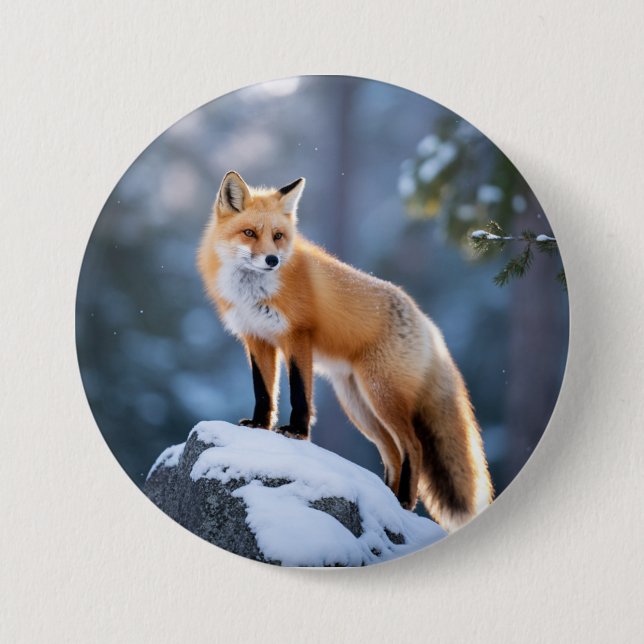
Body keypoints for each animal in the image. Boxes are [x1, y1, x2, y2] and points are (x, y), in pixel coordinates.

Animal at [197, 171, 493, 532]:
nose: (272, 260)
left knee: (414, 446)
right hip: (358, 404)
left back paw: (404, 502)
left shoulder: (297, 336)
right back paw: (388, 502)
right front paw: (259, 425)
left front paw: (296, 432)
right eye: (250, 233)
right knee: (393, 453)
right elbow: (264, 392)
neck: (254, 291)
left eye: (278, 236)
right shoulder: (257, 338)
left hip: (381, 395)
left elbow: (299, 392)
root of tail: (427, 324)